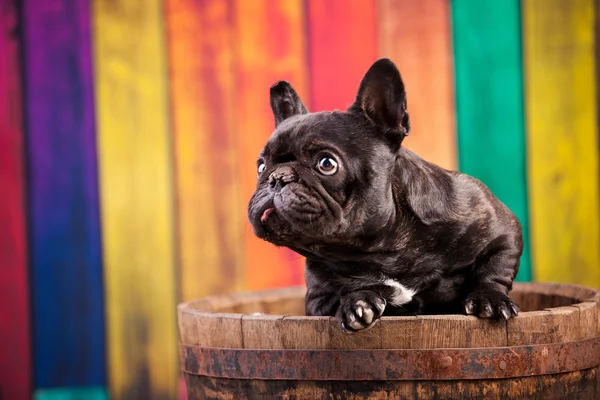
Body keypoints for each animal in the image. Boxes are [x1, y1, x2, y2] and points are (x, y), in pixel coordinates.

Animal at [246, 57, 524, 332]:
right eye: (261, 166)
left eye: (326, 163)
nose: (277, 177)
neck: (385, 247)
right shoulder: (318, 300)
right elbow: (345, 290)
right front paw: (359, 301)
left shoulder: (500, 226)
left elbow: (494, 267)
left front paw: (490, 298)